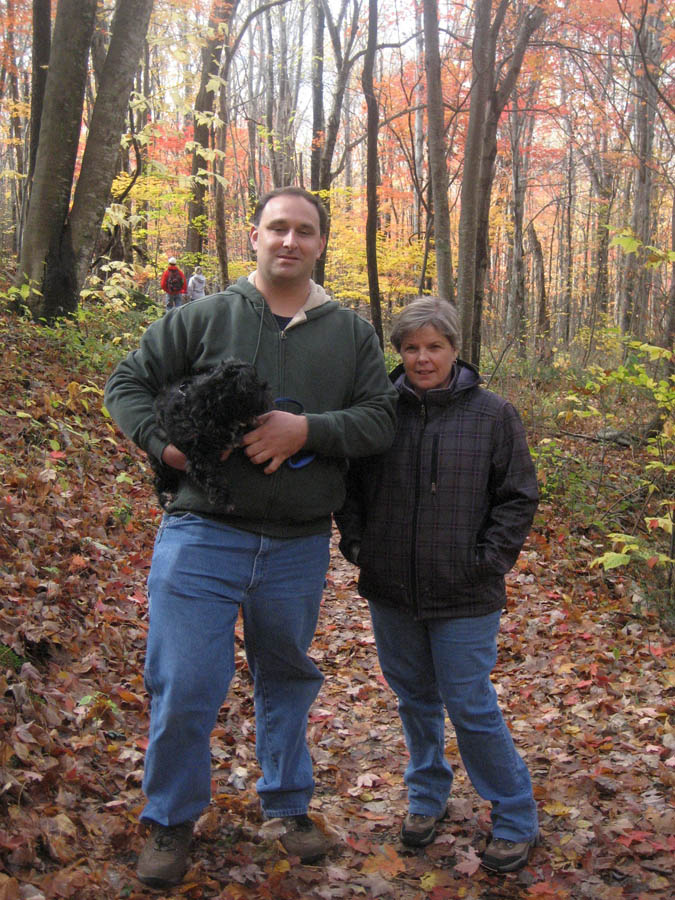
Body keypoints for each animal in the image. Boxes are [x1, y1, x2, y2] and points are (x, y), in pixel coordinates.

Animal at [151, 359, 272, 510]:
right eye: (255, 383)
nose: (267, 387)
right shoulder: (201, 457)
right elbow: (213, 478)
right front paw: (224, 499)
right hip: (162, 465)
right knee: (160, 480)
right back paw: (166, 496)